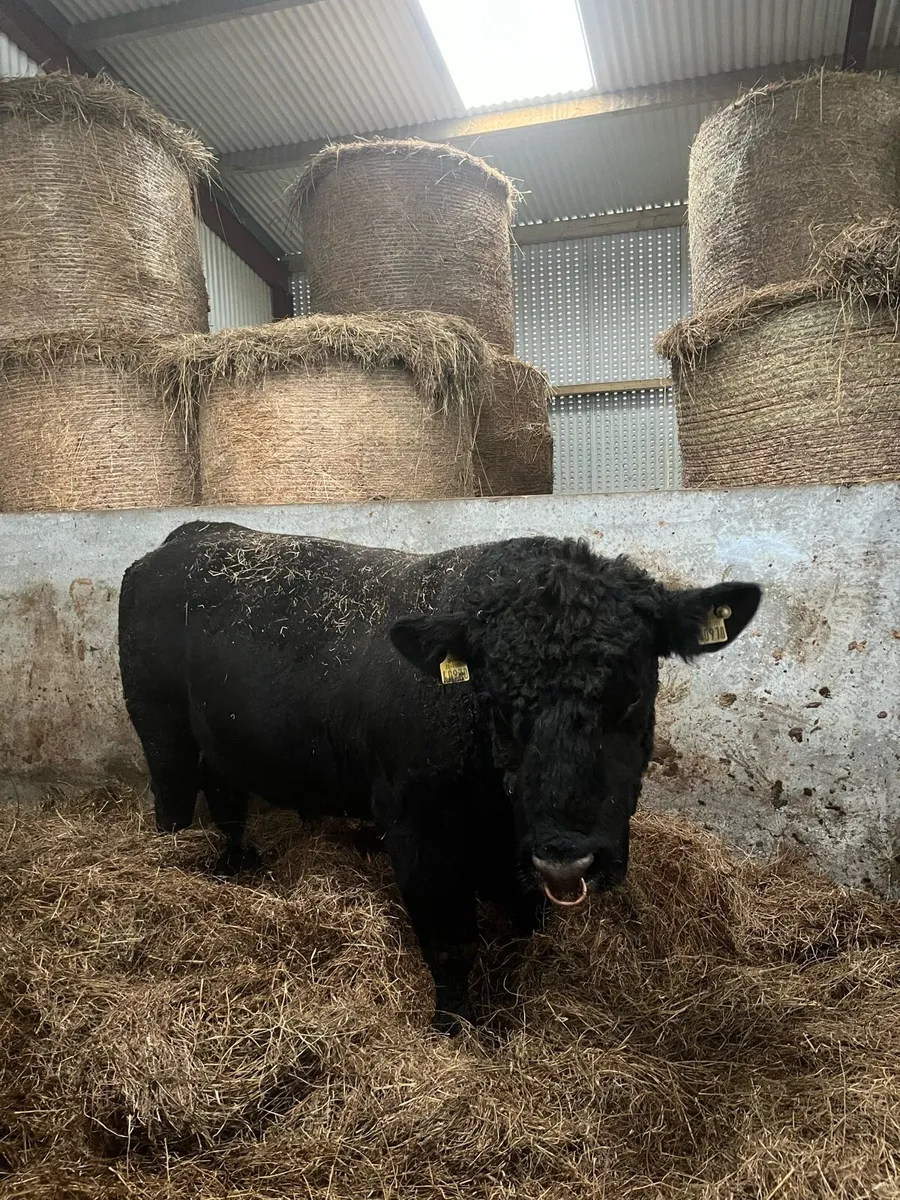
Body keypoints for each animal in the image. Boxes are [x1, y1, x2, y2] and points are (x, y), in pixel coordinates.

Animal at [118, 520, 761, 1032]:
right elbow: (451, 943)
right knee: (175, 806)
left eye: (632, 695)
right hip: (162, 734)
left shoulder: (514, 851)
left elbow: (528, 924)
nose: (568, 859)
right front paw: (455, 1028)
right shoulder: (416, 830)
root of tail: (187, 537)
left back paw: (238, 867)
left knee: (226, 799)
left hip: (218, 744)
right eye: (496, 701)